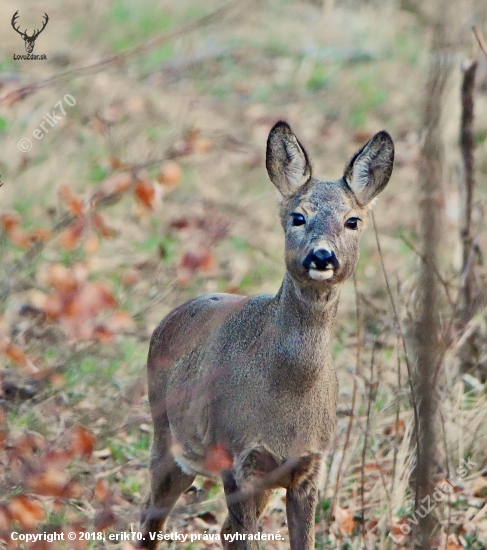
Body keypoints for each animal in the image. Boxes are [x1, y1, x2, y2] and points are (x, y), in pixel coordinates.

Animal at [139, 122, 394, 550]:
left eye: (352, 221)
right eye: (298, 216)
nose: (322, 255)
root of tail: (167, 320)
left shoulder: (309, 467)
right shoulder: (238, 458)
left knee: (220, 530)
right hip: (166, 437)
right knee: (149, 517)